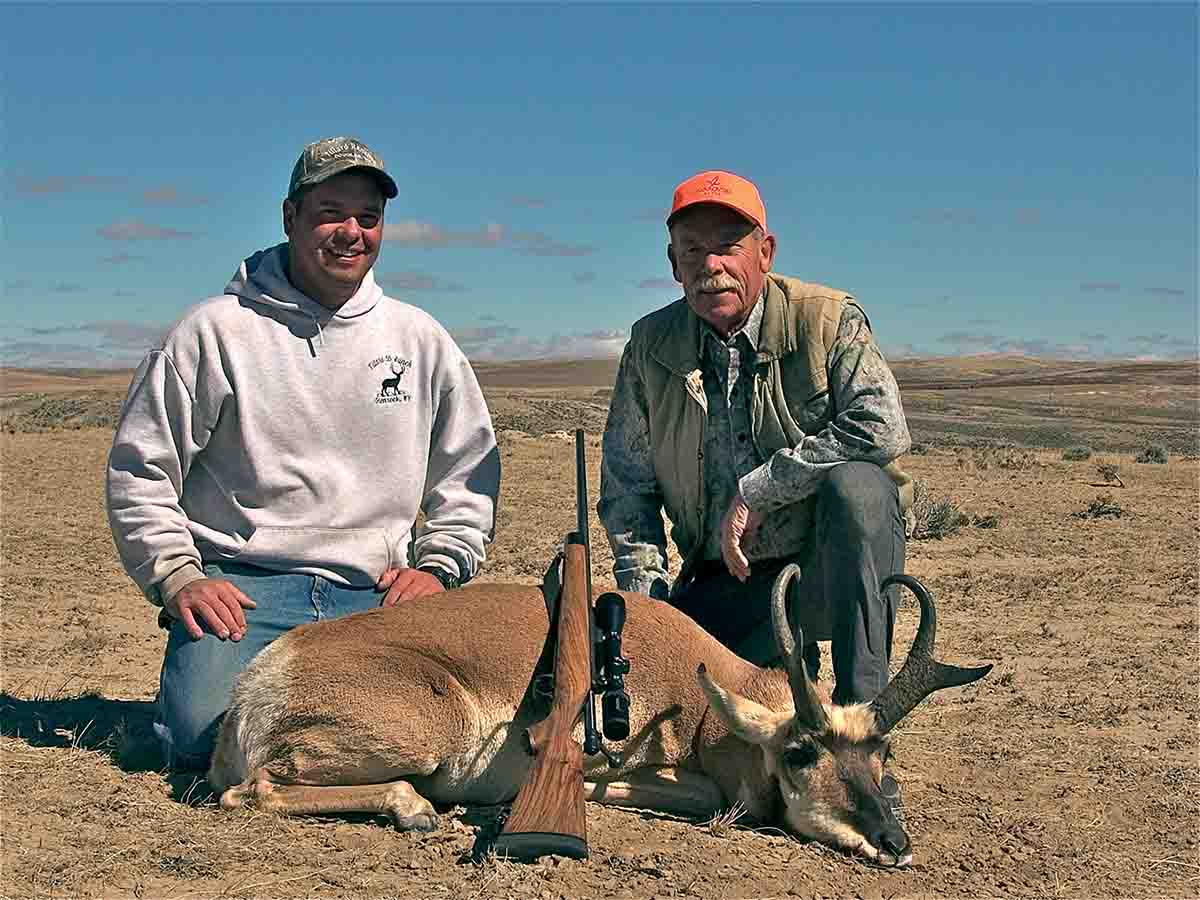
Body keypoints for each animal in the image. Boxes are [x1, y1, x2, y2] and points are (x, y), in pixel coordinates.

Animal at [208, 566, 993, 868]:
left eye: (882, 755)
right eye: (801, 752)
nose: (894, 842)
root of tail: (259, 678)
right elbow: (704, 794)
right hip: (426, 736)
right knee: (253, 791)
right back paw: (419, 810)